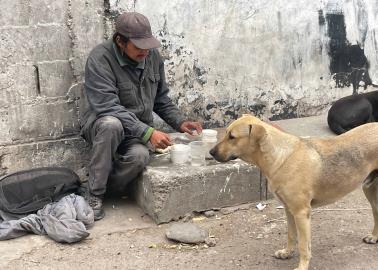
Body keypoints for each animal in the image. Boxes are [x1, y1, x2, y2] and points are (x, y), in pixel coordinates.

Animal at [210, 114, 378, 270]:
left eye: (232, 137)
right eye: (226, 133)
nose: (211, 152)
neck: (279, 156)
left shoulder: (301, 213)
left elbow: (303, 245)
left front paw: (302, 266)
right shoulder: (289, 209)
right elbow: (291, 235)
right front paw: (287, 253)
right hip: (369, 189)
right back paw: (374, 237)